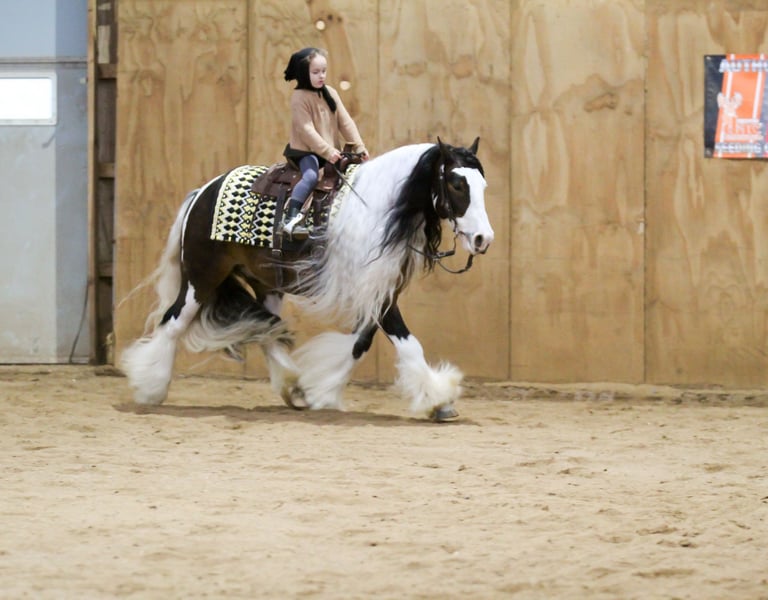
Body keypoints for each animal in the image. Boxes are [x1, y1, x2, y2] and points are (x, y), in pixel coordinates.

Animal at [121, 137, 493, 421]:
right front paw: (438, 400)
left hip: (266, 285)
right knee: (172, 323)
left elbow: (360, 343)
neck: (377, 211)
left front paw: (322, 391)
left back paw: (293, 385)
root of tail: (203, 192)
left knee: (267, 330)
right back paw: (150, 386)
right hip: (201, 280)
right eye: (457, 184)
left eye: (483, 186)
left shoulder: (380, 292)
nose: (482, 239)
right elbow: (407, 343)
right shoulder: (377, 295)